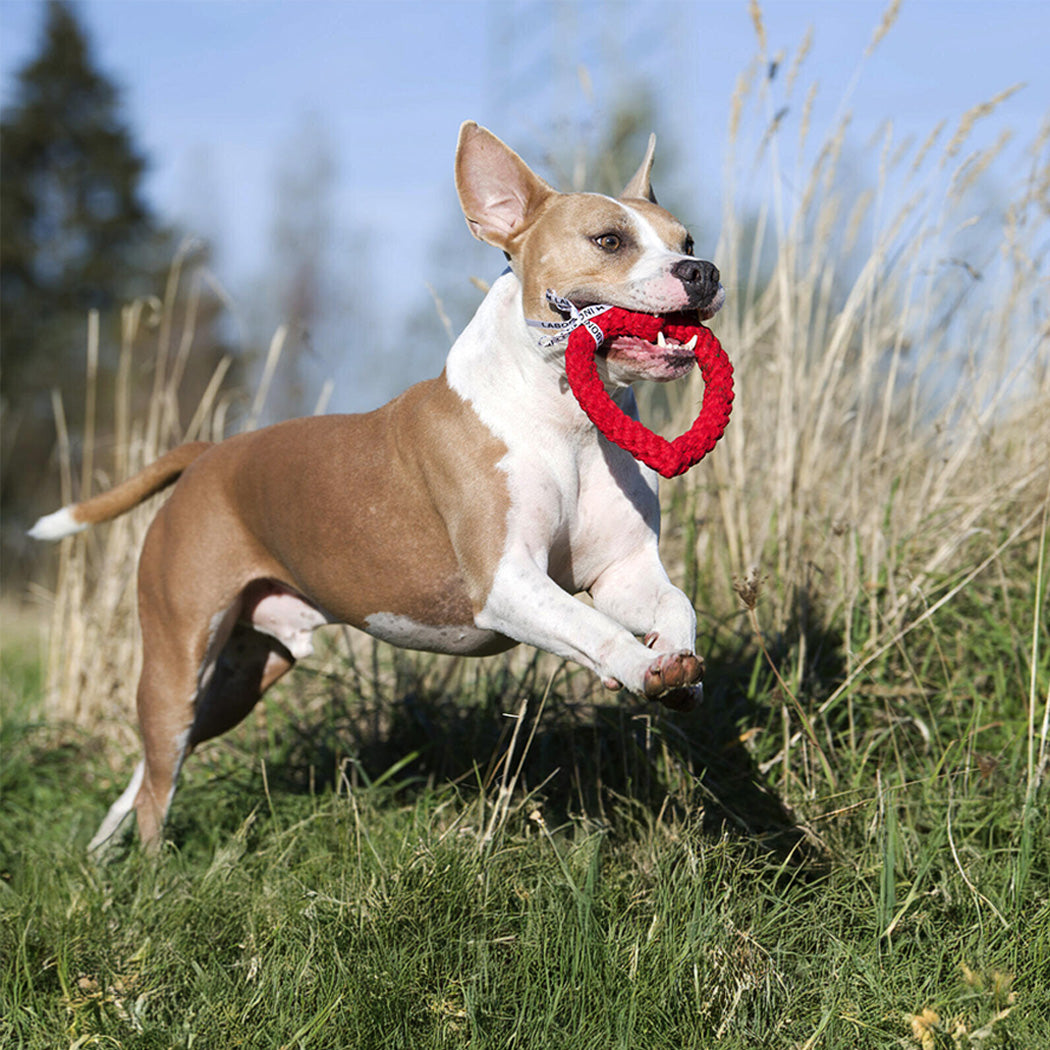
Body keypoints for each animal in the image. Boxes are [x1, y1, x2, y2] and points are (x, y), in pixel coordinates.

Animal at [30, 122, 722, 848]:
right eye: (608, 240)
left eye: (687, 241)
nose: (702, 272)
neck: (567, 422)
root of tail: (209, 456)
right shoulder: (506, 583)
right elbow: (588, 626)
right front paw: (638, 666)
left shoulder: (624, 572)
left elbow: (675, 605)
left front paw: (678, 665)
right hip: (178, 652)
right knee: (158, 774)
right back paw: (153, 866)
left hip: (235, 680)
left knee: (154, 764)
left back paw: (105, 849)